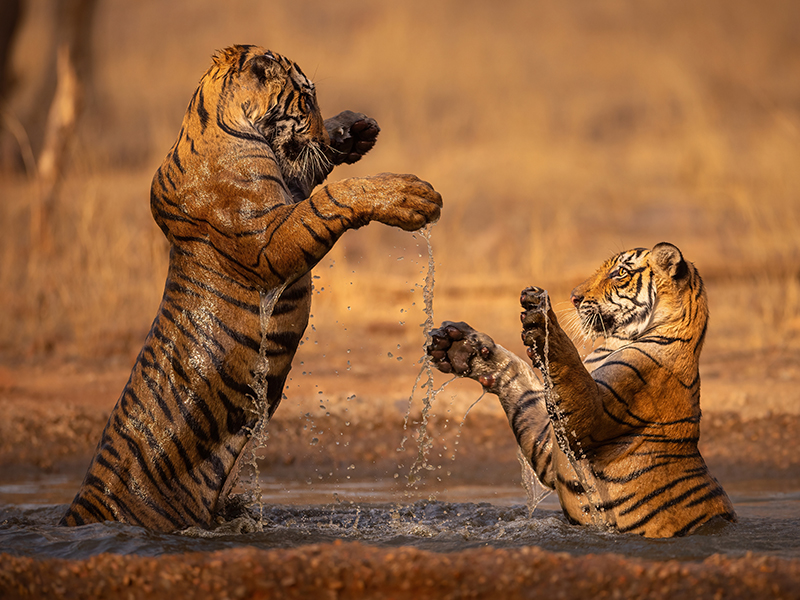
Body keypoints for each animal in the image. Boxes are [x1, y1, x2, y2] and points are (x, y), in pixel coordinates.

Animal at [59, 45, 442, 531]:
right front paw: (409, 195)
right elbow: (330, 198)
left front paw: (354, 129)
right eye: (306, 99)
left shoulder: (287, 191)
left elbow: (313, 172)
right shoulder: (269, 243)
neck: (211, 121)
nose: (331, 127)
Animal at [427, 242, 735, 538]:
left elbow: (568, 363)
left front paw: (543, 321)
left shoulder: (588, 421)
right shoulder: (548, 446)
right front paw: (461, 347)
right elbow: (522, 387)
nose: (574, 298)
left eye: (620, 273)